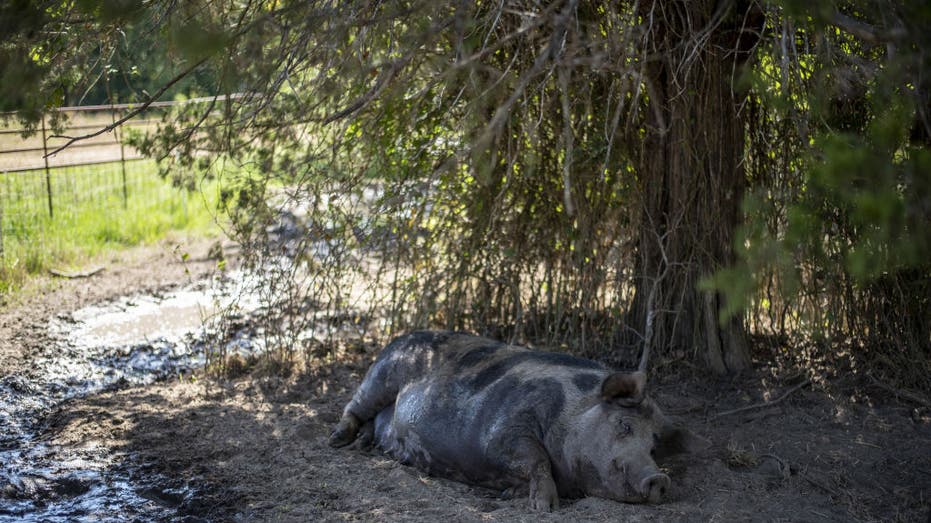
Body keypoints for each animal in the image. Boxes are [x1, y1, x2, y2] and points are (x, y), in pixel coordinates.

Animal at [328, 332, 700, 512]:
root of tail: (401, 336)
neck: (570, 410)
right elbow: (534, 458)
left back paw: (366, 445)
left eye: (653, 446)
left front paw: (511, 494)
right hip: (384, 372)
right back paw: (336, 441)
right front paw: (545, 508)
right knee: (356, 405)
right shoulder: (503, 431)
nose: (659, 478)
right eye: (624, 425)